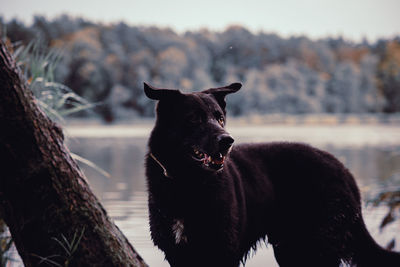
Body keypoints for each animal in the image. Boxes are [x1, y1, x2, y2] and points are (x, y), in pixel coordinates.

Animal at [144, 82, 400, 266]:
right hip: (292, 250)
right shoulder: (178, 253)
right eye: (193, 118)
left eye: (220, 118)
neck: (187, 183)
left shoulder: (222, 250)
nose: (227, 140)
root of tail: (345, 171)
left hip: (317, 247)